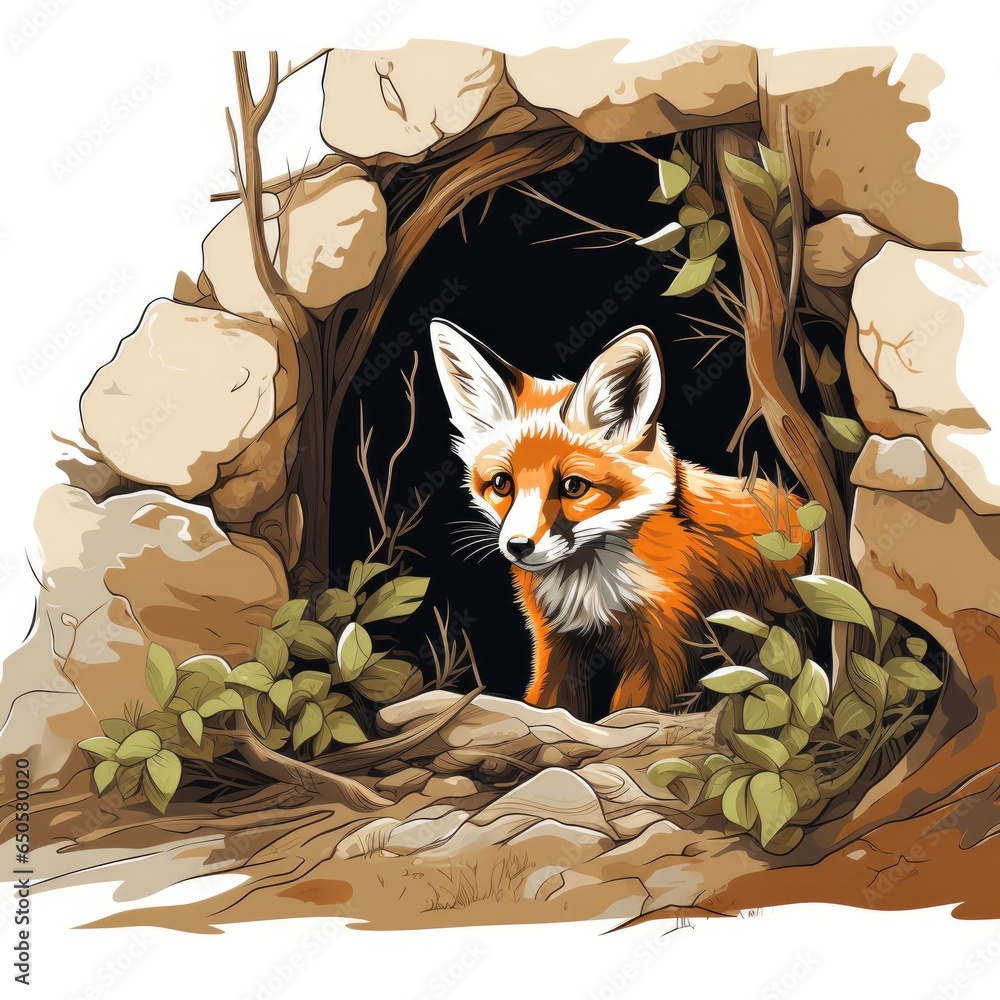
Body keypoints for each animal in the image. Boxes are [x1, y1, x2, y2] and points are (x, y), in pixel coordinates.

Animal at [430, 318, 813, 719]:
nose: (519, 546)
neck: (588, 589)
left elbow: (634, 710)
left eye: (573, 486)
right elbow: (547, 702)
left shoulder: (664, 641)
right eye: (502, 484)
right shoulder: (556, 641)